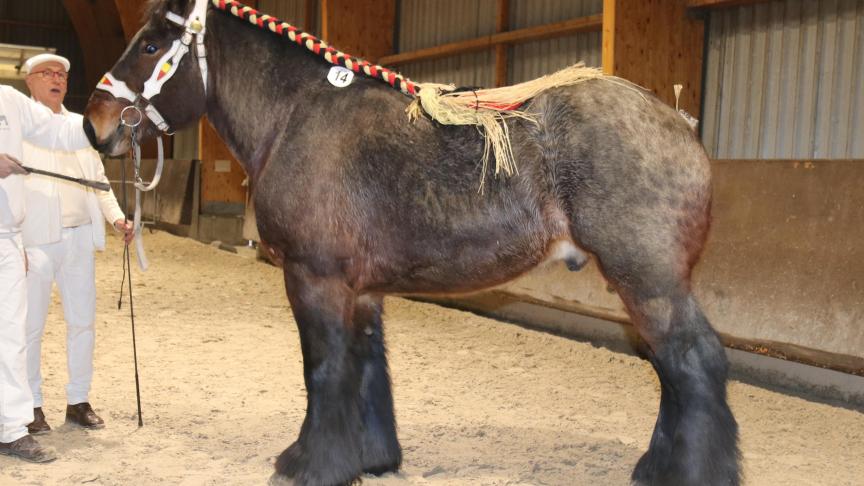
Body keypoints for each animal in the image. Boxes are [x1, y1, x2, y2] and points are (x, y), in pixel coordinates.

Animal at [84, 0, 740, 486]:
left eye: (149, 46)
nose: (95, 125)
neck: (296, 114)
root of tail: (678, 122)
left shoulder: (314, 278)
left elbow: (324, 368)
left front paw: (311, 465)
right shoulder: (361, 290)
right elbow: (367, 367)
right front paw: (371, 459)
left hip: (648, 280)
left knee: (693, 361)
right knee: (671, 369)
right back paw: (655, 468)